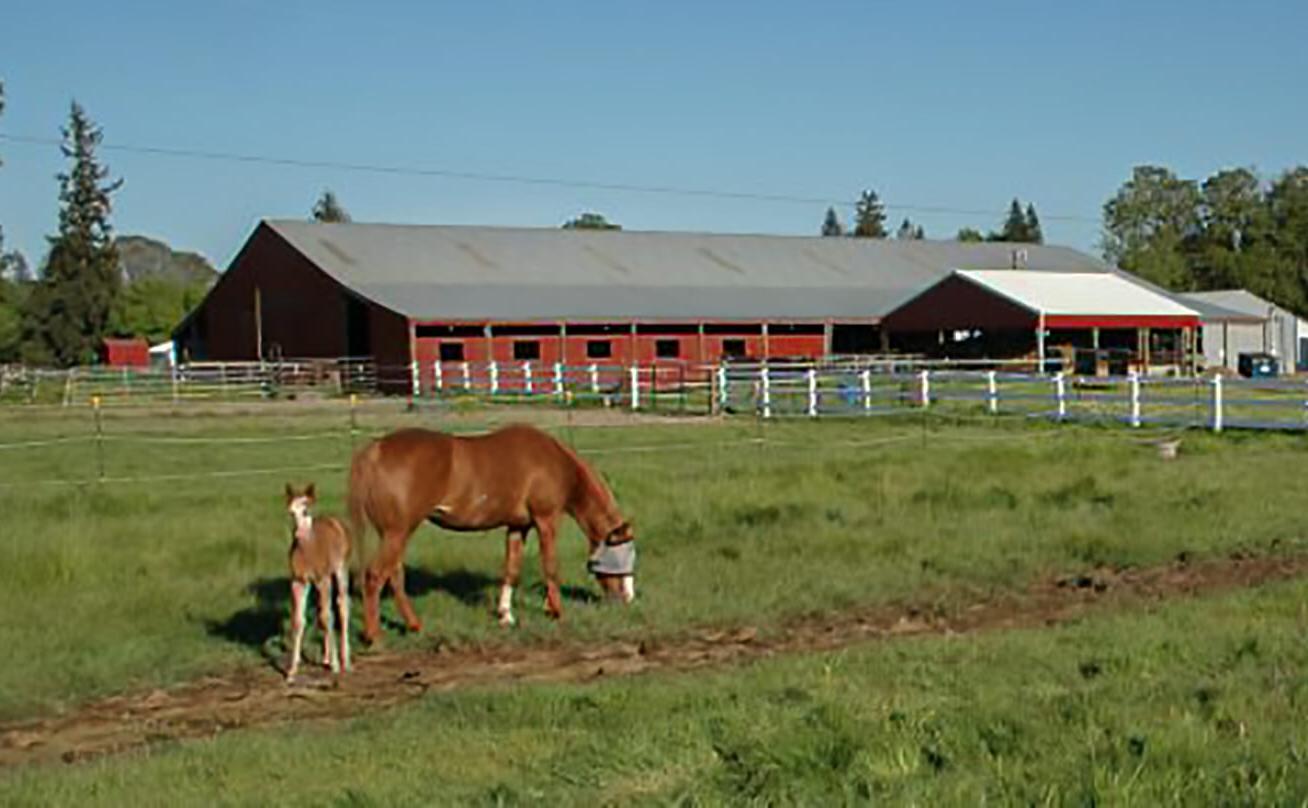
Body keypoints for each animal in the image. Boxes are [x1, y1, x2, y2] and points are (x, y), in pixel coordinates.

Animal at [282, 481, 350, 685]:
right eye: (291, 512)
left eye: (305, 510)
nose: (297, 534)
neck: (308, 551)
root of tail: (335, 522)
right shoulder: (298, 582)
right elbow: (298, 620)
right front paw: (292, 671)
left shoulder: (323, 579)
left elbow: (328, 617)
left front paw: (336, 666)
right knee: (323, 609)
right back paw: (326, 658)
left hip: (340, 570)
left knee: (341, 605)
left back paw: (345, 660)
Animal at [345, 420, 635, 640]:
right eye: (621, 556)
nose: (626, 600)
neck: (553, 461)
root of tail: (375, 450)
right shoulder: (546, 521)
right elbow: (550, 566)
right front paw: (557, 612)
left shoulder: (518, 527)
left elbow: (511, 570)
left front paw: (506, 616)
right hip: (398, 532)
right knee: (375, 576)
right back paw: (374, 636)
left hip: (394, 534)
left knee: (393, 576)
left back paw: (414, 626)